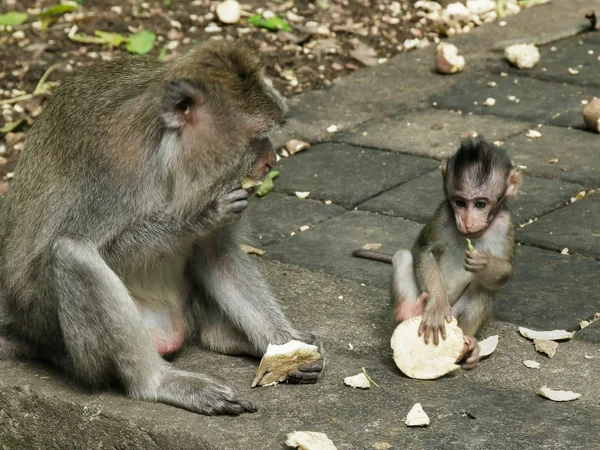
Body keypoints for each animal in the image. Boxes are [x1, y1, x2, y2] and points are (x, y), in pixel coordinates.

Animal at [0, 41, 324, 414]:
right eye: (259, 135)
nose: (271, 161)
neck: (167, 153)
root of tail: (27, 334)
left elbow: (217, 254)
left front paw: (285, 343)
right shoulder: (112, 170)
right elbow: (87, 246)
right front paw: (197, 217)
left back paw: (225, 339)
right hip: (72, 349)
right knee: (72, 251)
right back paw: (158, 383)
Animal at [354, 138, 516, 370]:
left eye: (480, 204)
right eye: (459, 202)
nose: (467, 222)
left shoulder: (506, 225)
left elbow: (504, 272)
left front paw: (484, 263)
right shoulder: (443, 214)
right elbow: (423, 250)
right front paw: (438, 303)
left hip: (454, 316)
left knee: (482, 287)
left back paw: (469, 345)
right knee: (404, 257)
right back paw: (408, 310)